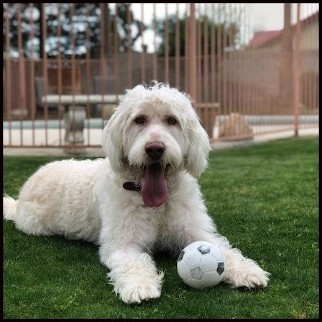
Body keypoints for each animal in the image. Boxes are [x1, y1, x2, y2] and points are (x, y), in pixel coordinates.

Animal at [3, 82, 270, 304]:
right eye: (139, 120)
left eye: (171, 120)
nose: (155, 149)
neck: (156, 203)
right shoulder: (123, 243)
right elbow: (133, 263)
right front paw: (140, 286)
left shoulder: (196, 232)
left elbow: (224, 250)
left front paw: (247, 271)